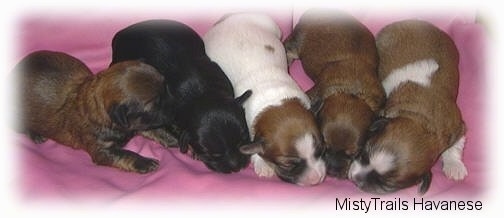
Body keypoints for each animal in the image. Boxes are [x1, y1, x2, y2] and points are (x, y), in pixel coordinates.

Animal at [17, 49, 169, 174]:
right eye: (154, 106)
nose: (171, 112)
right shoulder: (101, 150)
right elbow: (126, 154)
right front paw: (146, 162)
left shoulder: (137, 126)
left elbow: (156, 131)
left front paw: (171, 139)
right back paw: (36, 135)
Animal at [205, 12, 326, 185]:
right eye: (287, 164)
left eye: (322, 150)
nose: (317, 179)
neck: (275, 102)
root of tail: (229, 17)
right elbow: (253, 146)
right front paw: (263, 165)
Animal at [346, 20, 468, 194]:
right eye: (363, 153)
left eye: (386, 185)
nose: (353, 177)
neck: (421, 119)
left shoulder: (457, 127)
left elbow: (456, 145)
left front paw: (455, 166)